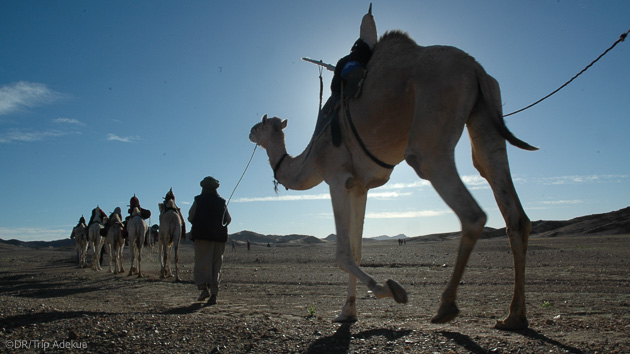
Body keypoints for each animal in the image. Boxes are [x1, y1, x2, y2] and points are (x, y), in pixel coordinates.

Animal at [249, 29, 536, 330]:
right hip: (485, 117)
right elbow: (356, 250)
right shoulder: (359, 186)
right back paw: (514, 316)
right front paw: (347, 311)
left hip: (431, 134)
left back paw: (446, 306)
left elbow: (342, 254)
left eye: (259, 125)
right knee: (507, 203)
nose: (249, 132)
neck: (311, 156)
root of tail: (475, 67)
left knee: (470, 211)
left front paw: (388, 289)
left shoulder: (337, 178)